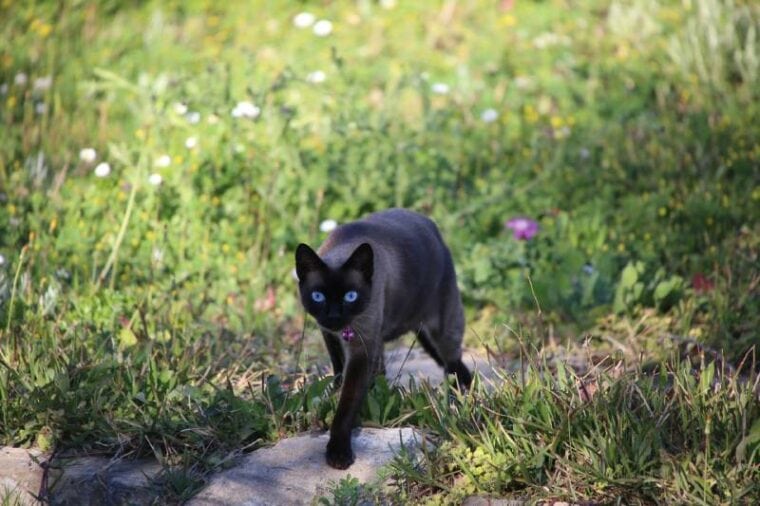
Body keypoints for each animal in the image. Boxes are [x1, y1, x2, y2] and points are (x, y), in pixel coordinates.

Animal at [296, 208, 470, 468]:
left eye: (350, 296)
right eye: (318, 296)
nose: (335, 315)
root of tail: (427, 221)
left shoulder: (360, 348)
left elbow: (346, 404)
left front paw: (338, 453)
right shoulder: (330, 335)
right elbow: (338, 375)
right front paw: (336, 396)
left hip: (442, 330)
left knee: (455, 363)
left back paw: (459, 398)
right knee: (383, 371)